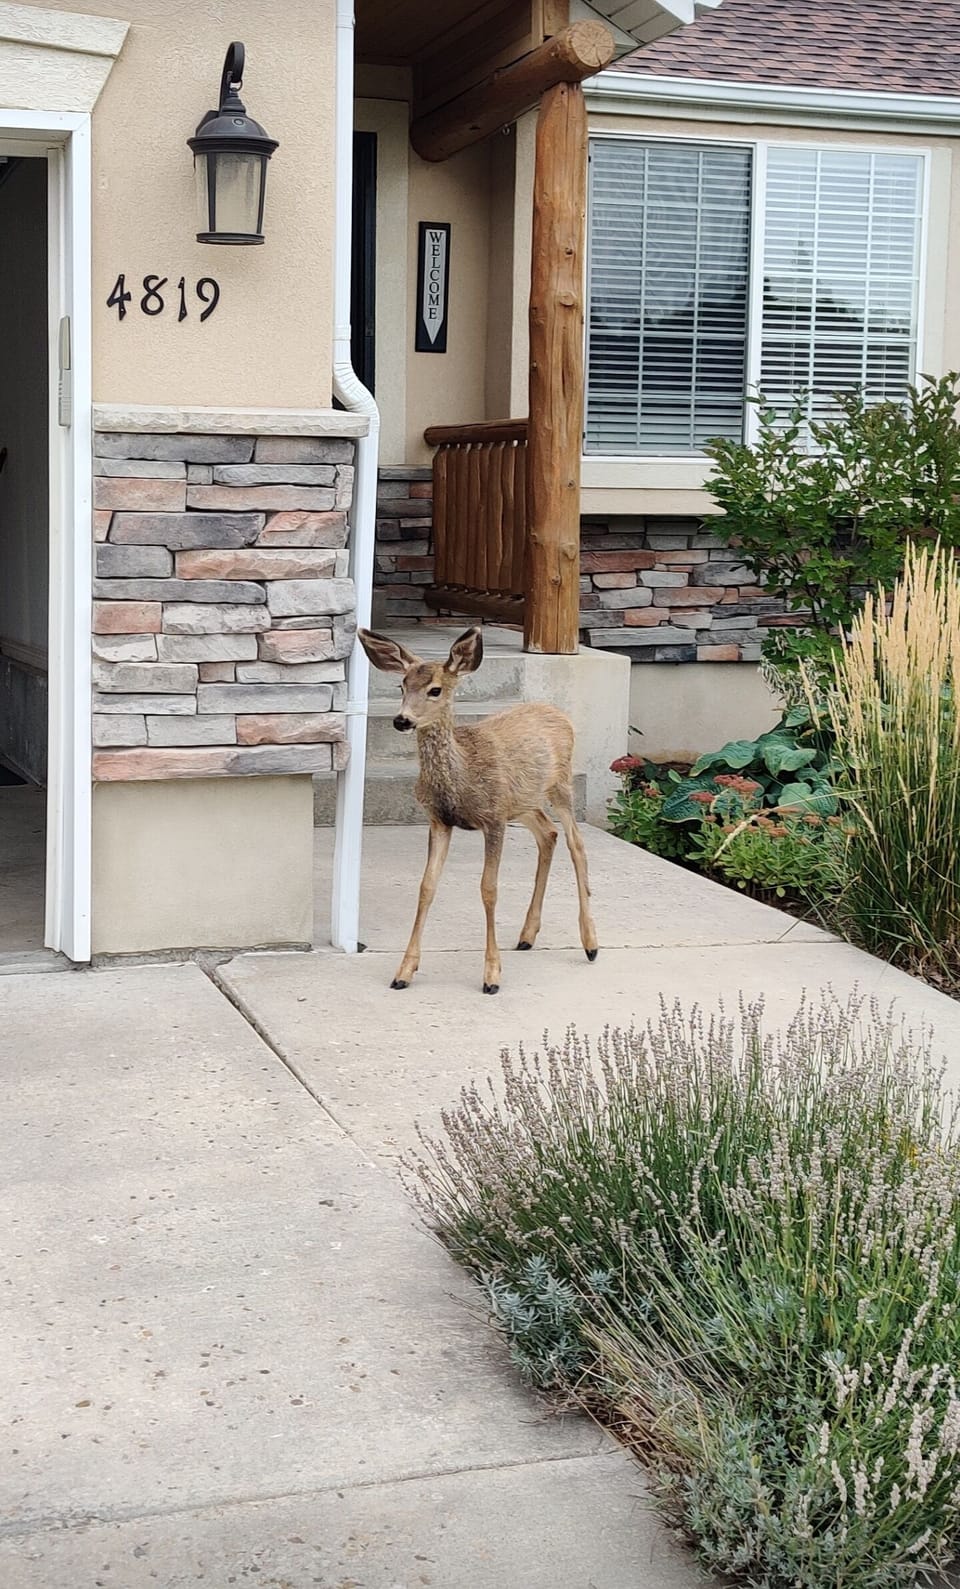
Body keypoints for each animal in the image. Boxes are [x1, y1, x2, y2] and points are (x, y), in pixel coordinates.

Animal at [357, 625, 598, 995]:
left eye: (435, 689)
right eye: (402, 686)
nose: (402, 720)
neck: (460, 776)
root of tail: (559, 713)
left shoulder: (493, 818)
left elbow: (489, 889)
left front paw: (492, 975)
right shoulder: (440, 821)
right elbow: (426, 887)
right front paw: (404, 971)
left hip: (560, 786)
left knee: (577, 843)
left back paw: (590, 943)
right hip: (523, 801)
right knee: (548, 833)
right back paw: (527, 935)